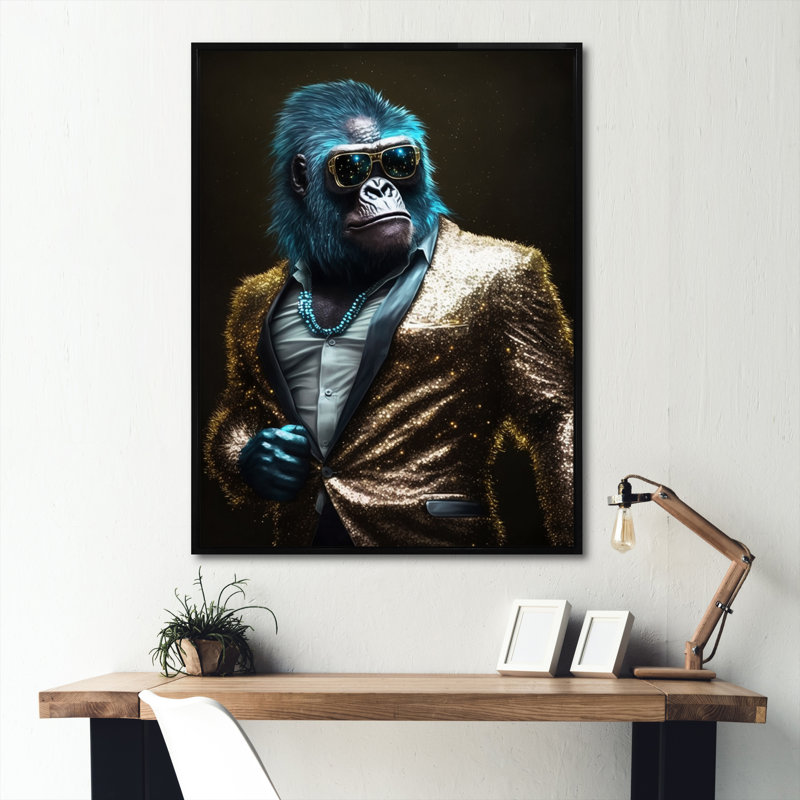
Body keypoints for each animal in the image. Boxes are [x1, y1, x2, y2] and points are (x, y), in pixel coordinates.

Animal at [205, 80, 574, 549]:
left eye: (400, 160)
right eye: (352, 168)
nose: (379, 187)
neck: (346, 270)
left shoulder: (519, 289)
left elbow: (553, 416)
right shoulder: (246, 306)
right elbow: (239, 405)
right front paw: (266, 460)